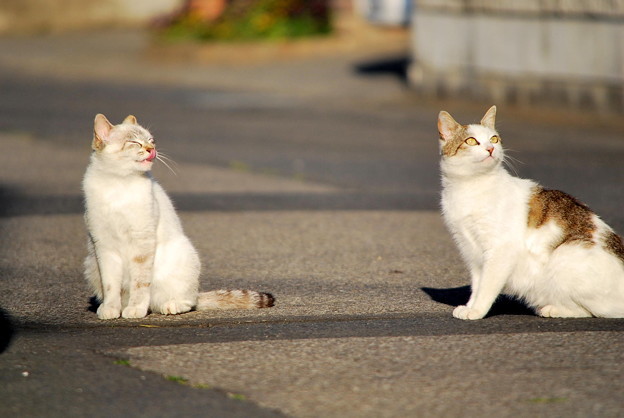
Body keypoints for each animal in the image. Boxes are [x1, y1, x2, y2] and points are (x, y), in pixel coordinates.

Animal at [82, 112, 272, 318]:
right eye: (134, 142)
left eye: (151, 140)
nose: (151, 149)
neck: (118, 183)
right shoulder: (103, 246)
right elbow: (110, 285)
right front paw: (110, 309)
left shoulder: (142, 241)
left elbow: (140, 283)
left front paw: (135, 309)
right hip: (91, 263)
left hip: (182, 258)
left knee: (185, 302)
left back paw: (170, 305)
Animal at [438, 106, 624, 318]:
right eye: (471, 141)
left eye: (494, 138)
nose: (491, 148)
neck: (471, 186)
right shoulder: (471, 250)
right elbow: (477, 284)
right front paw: (470, 306)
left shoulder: (501, 249)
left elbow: (487, 285)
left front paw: (477, 311)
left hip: (565, 255)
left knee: (591, 311)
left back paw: (552, 309)